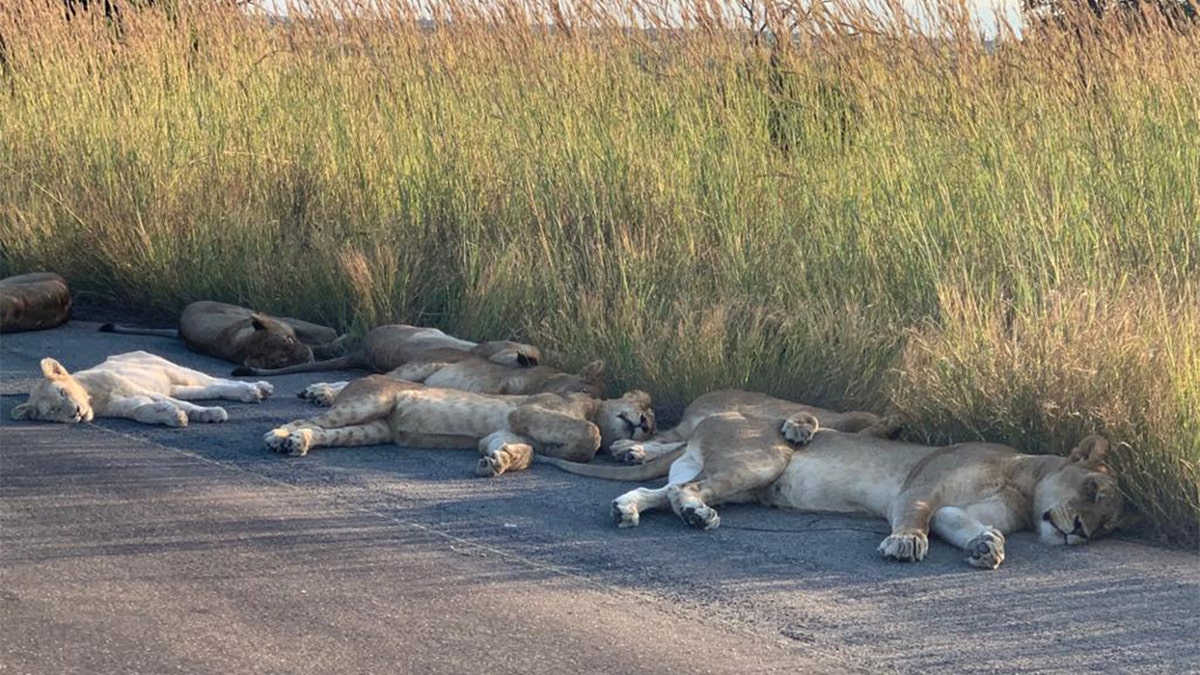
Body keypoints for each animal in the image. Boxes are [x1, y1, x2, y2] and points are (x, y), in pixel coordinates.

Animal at [11, 353, 274, 425]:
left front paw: (210, 414)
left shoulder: (133, 387)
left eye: (62, 392)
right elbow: (142, 411)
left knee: (217, 381)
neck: (94, 398)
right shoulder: (126, 406)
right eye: (52, 411)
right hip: (176, 386)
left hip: (174, 370)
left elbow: (184, 405)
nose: (75, 412)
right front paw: (173, 417)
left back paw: (257, 389)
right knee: (209, 390)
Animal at [99, 300, 348, 369]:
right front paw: (339, 342)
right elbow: (325, 339)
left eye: (288, 341)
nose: (304, 357)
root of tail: (179, 330)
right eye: (281, 360)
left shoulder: (289, 325)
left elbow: (322, 337)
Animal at [264, 374, 657, 475]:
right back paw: (278, 436)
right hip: (370, 401)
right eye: (646, 410)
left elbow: (523, 452)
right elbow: (592, 435)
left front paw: (498, 463)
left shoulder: (501, 432)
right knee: (305, 418)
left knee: (323, 431)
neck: (593, 407)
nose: (643, 425)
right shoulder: (526, 411)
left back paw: (299, 442)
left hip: (371, 430)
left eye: (652, 426)